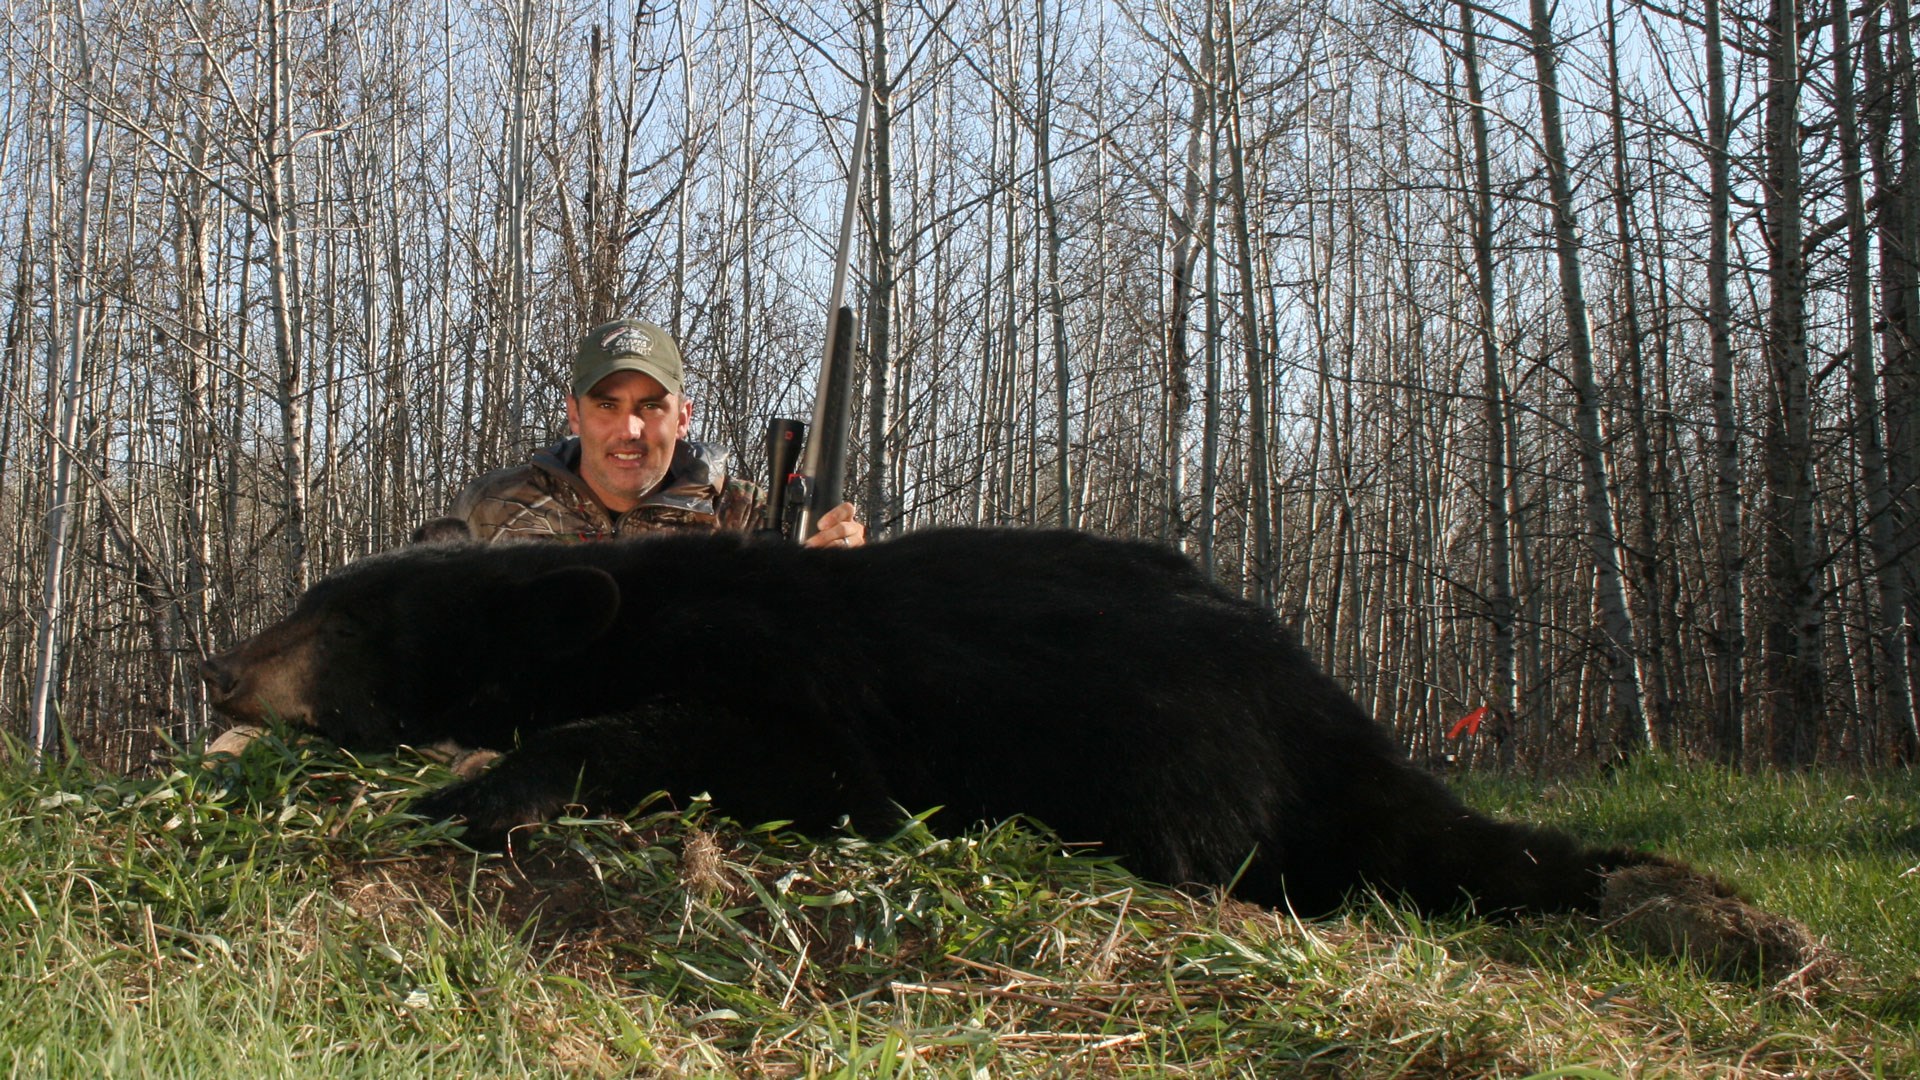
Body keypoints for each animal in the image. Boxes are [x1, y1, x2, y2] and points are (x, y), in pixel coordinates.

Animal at [202, 526, 1681, 910]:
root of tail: (1328, 702)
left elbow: (758, 747)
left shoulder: (802, 689)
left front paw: (477, 787)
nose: (222, 667)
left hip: (1174, 741)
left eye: (341, 615)